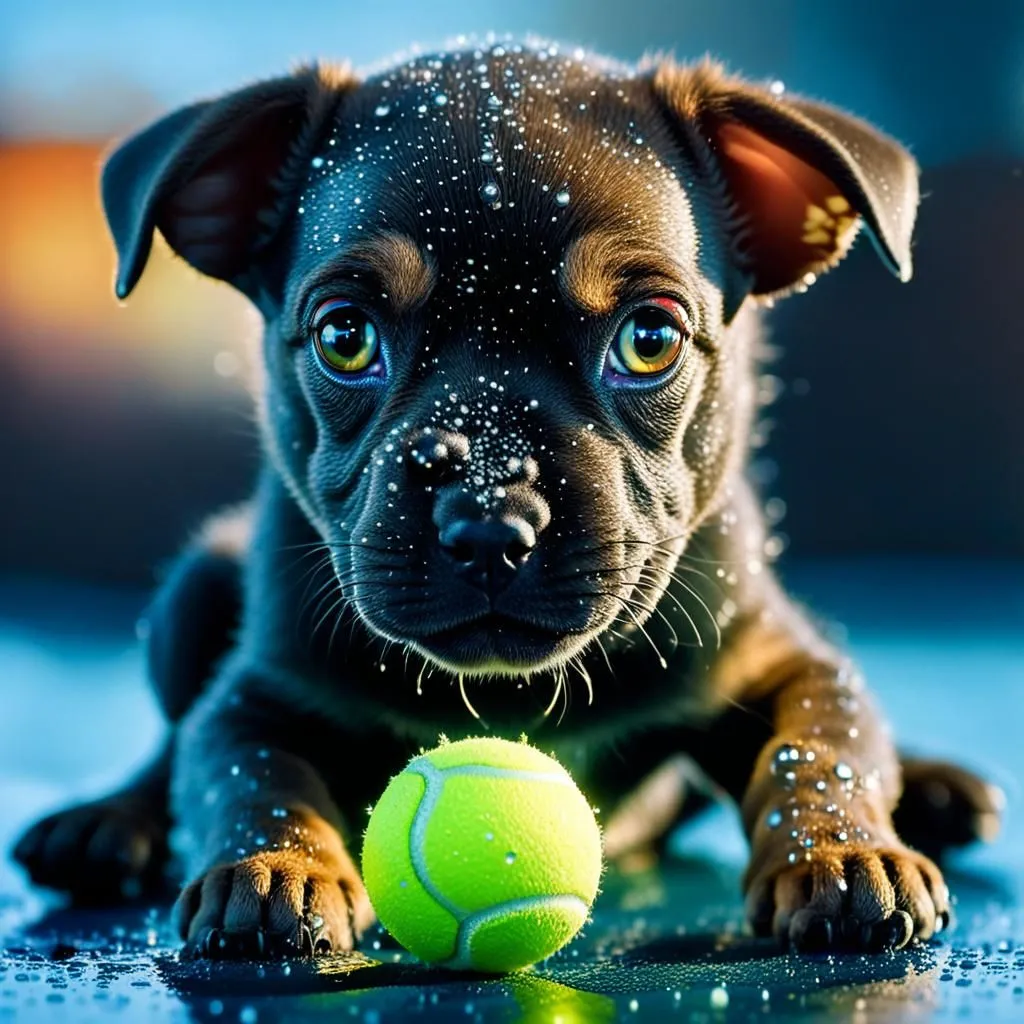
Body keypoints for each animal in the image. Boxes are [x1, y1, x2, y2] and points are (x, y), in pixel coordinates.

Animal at [16, 41, 1003, 958]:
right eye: (344, 336)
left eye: (650, 339)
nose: (491, 526)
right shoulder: (260, 692)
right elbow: (246, 772)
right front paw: (273, 868)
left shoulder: (775, 659)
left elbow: (822, 743)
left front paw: (837, 853)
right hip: (192, 594)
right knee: (167, 745)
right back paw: (106, 822)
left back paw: (934, 784)